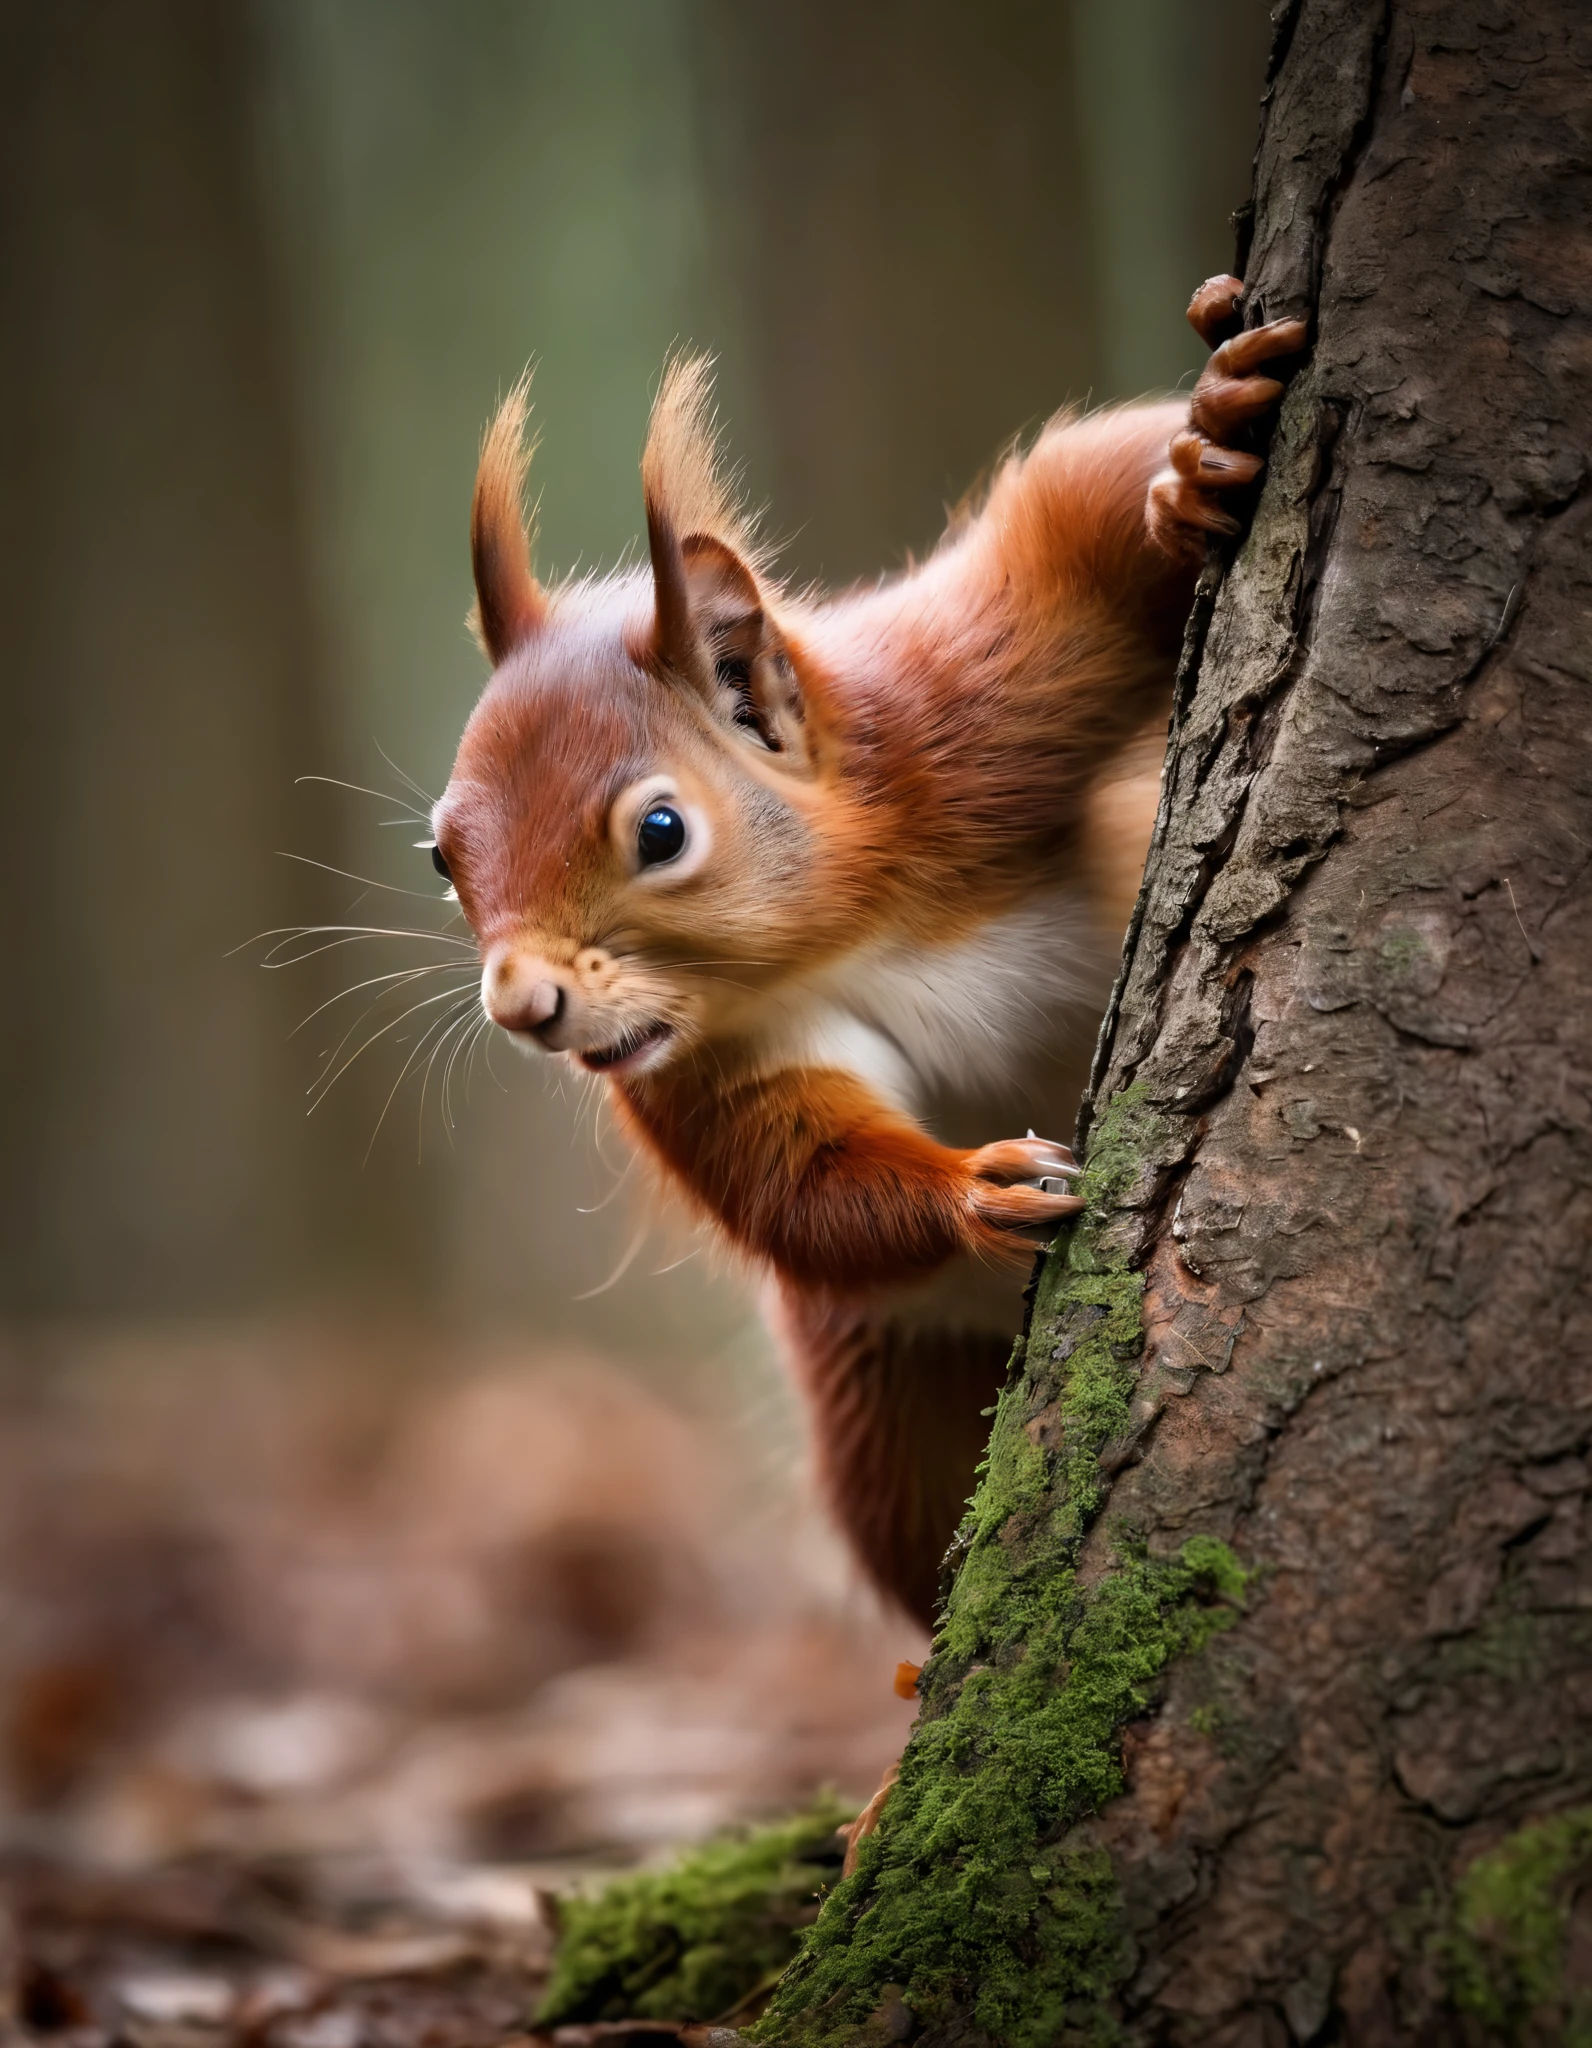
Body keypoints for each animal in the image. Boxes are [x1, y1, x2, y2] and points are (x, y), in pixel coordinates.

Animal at [428, 276, 1294, 1630]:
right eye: (440, 857)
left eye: (661, 831)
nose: (522, 1004)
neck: (836, 935)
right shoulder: (709, 1074)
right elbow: (799, 1182)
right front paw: (974, 1189)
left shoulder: (970, 705)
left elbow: (1077, 528)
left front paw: (1199, 454)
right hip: (890, 1398)